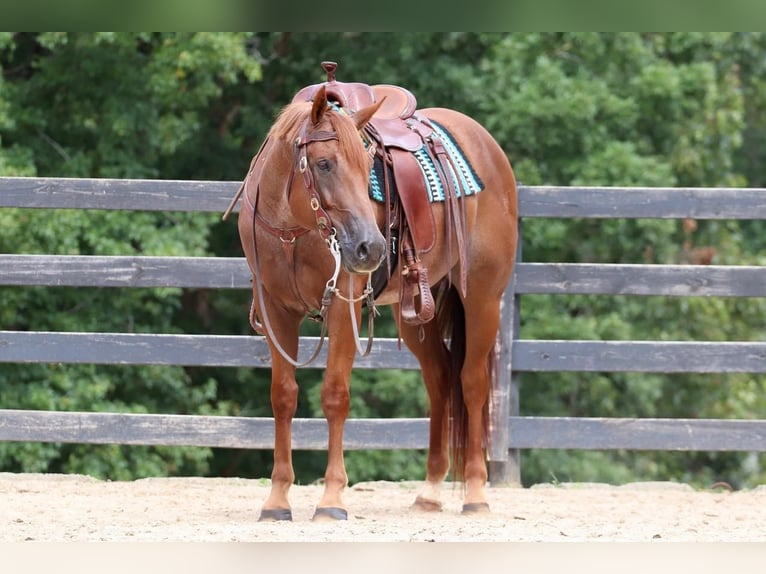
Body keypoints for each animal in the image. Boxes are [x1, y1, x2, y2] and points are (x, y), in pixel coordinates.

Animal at [232, 77, 520, 520]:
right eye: (324, 164)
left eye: (368, 167)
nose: (372, 248)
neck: (293, 231)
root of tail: (488, 146)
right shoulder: (275, 310)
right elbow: (283, 397)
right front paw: (277, 500)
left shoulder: (343, 305)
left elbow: (335, 395)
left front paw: (332, 499)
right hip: (415, 310)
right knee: (439, 379)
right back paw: (430, 490)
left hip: (484, 297)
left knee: (471, 383)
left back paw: (475, 492)